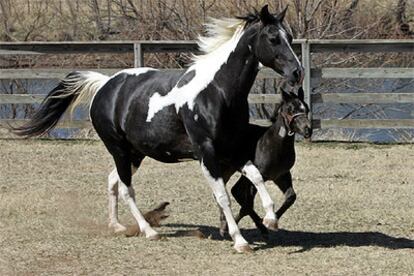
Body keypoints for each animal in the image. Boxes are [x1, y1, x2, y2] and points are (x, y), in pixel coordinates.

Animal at [220, 87, 310, 237]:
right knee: (235, 193)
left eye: (306, 109)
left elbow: (291, 197)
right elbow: (247, 205)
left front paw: (271, 221)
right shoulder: (258, 177)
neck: (273, 145)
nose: (308, 130)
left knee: (234, 191)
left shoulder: (281, 175)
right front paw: (265, 223)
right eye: (290, 109)